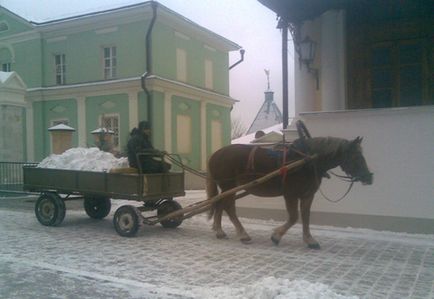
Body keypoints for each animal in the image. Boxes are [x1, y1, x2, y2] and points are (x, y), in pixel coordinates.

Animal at [207, 137, 372, 250]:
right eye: (356, 156)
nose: (369, 177)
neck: (307, 161)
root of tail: (215, 155)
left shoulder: (307, 195)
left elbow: (305, 217)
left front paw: (309, 240)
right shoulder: (290, 194)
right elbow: (293, 217)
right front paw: (276, 236)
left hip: (228, 188)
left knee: (219, 204)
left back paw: (219, 231)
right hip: (228, 186)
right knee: (228, 207)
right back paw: (242, 234)